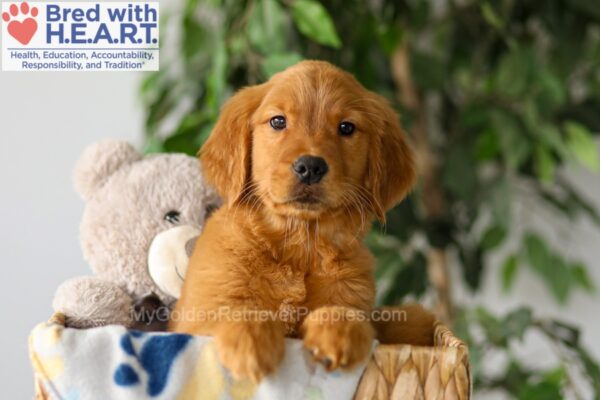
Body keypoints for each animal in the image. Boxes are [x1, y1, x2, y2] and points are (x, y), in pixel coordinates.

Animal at [171, 59, 418, 382]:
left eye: (346, 127)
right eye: (278, 121)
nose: (310, 166)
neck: (299, 243)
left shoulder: (357, 298)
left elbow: (345, 311)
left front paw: (337, 331)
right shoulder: (196, 317)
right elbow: (233, 310)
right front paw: (249, 340)